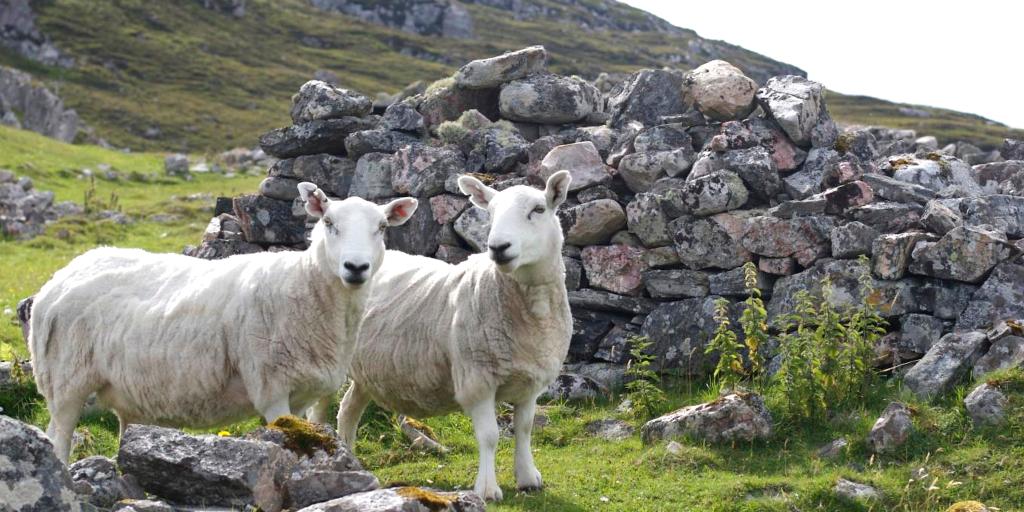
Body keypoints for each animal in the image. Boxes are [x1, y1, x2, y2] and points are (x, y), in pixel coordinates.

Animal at [29, 182, 419, 462]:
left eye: (382, 227)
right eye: (329, 223)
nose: (356, 267)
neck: (305, 286)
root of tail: (64, 273)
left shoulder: (301, 396)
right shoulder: (271, 389)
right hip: (66, 381)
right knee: (58, 436)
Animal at [337, 171, 573, 499]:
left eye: (538, 209)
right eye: (491, 212)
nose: (498, 247)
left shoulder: (530, 382)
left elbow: (524, 429)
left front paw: (528, 478)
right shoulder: (477, 378)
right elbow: (489, 435)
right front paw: (487, 489)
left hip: (366, 372)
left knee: (347, 410)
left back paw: (347, 458)